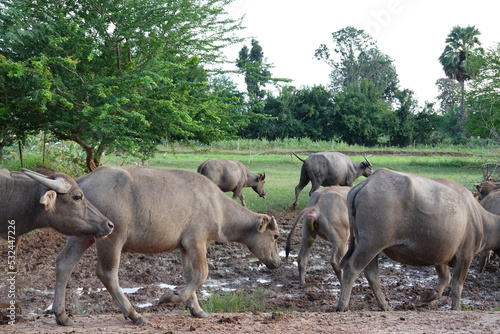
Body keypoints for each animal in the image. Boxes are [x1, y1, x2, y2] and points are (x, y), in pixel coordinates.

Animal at [54, 167, 282, 326]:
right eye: (276, 236)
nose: (278, 262)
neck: (218, 206)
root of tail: (82, 182)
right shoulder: (197, 242)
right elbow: (201, 274)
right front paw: (171, 297)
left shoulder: (184, 247)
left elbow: (190, 276)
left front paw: (196, 309)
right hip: (111, 237)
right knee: (106, 273)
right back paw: (134, 314)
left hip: (82, 236)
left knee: (64, 264)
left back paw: (61, 316)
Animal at [336, 168, 500, 312]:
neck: (480, 219)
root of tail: (367, 182)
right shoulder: (466, 255)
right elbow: (457, 286)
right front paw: (456, 307)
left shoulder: (440, 255)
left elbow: (445, 279)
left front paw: (428, 296)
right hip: (370, 243)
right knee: (352, 268)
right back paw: (342, 305)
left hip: (369, 245)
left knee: (372, 274)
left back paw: (385, 306)